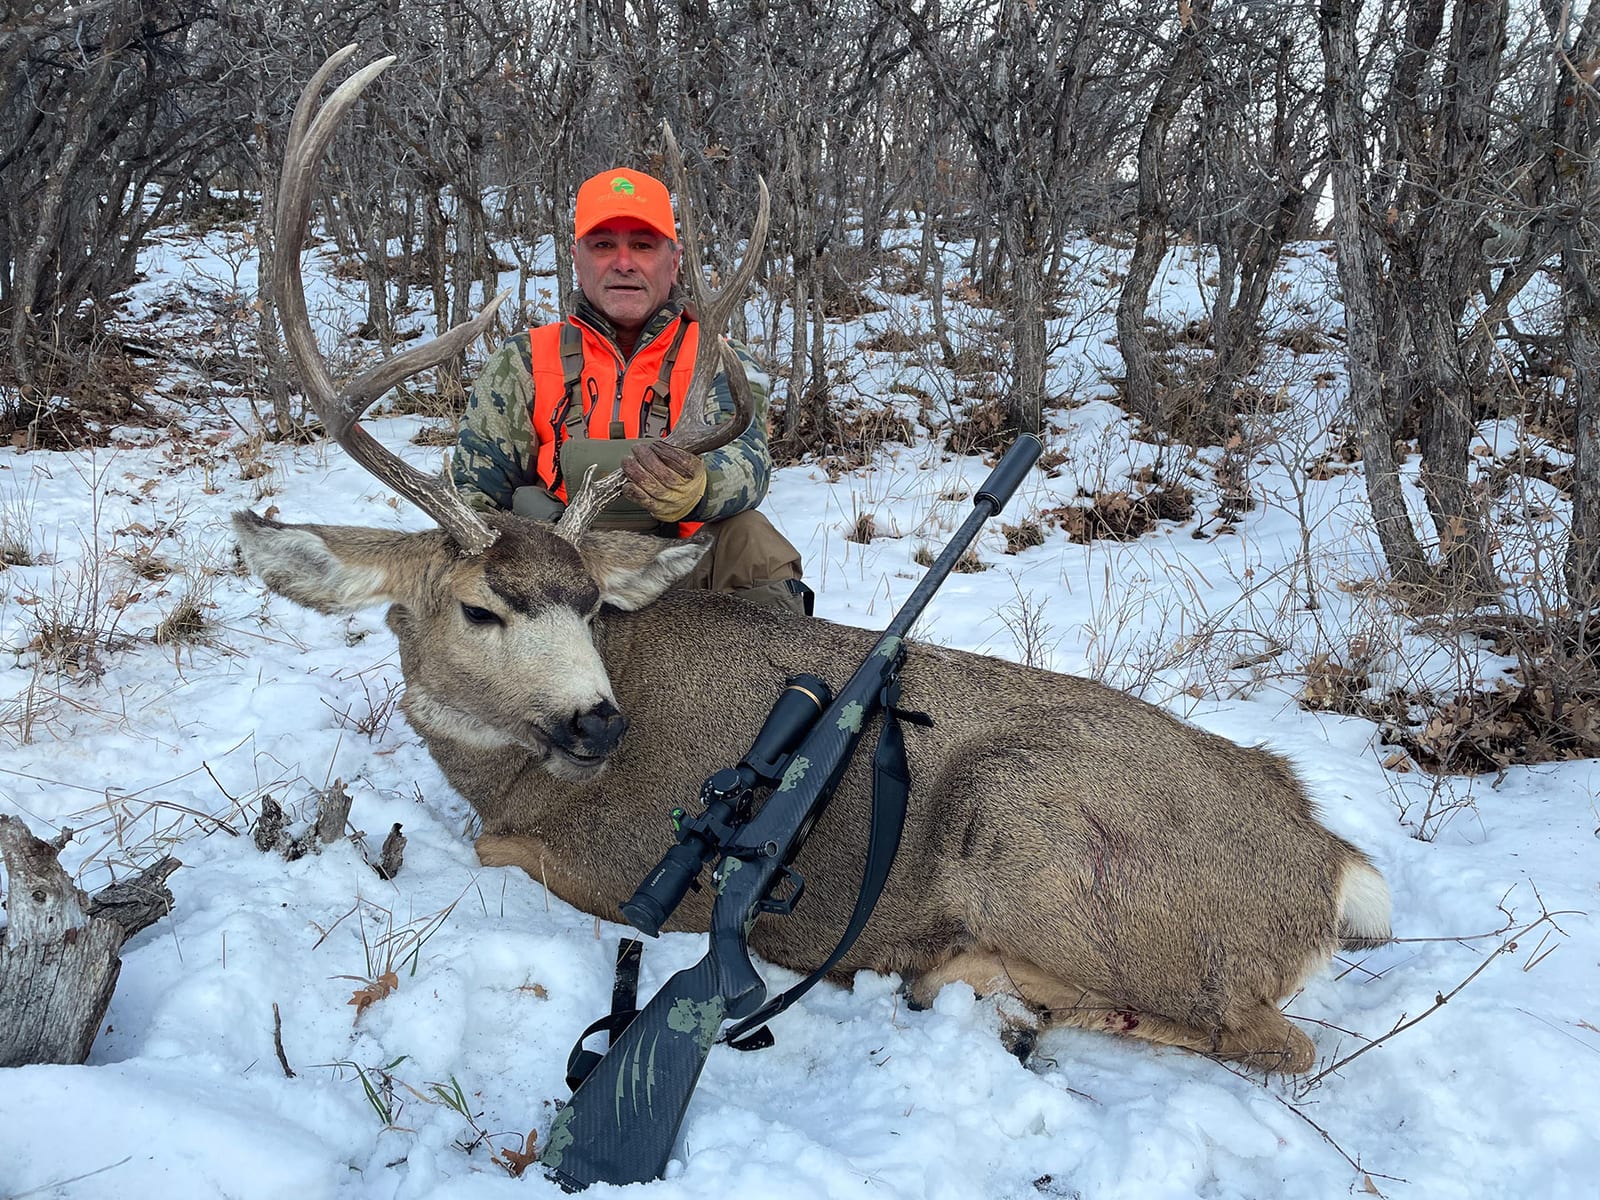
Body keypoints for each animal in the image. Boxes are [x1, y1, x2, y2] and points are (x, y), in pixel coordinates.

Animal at [234, 49, 1391, 1076]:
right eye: (480, 608)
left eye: (589, 604)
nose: (601, 721)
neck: (507, 774)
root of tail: (1330, 864)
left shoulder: (592, 859)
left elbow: (497, 853)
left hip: (1042, 831)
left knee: (1277, 1041)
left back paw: (976, 988)